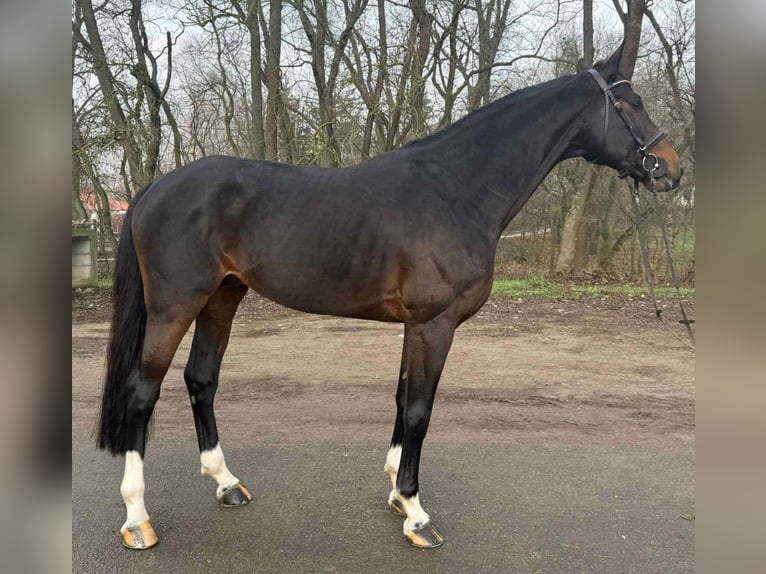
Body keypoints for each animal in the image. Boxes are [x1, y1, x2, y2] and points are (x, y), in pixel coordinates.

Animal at [96, 44, 682, 550]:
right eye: (632, 103)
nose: (671, 166)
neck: (457, 190)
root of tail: (154, 189)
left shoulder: (415, 327)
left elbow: (403, 399)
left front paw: (398, 492)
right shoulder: (434, 324)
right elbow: (421, 409)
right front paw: (417, 513)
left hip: (223, 297)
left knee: (201, 379)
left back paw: (226, 483)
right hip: (174, 306)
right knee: (141, 393)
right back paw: (137, 519)